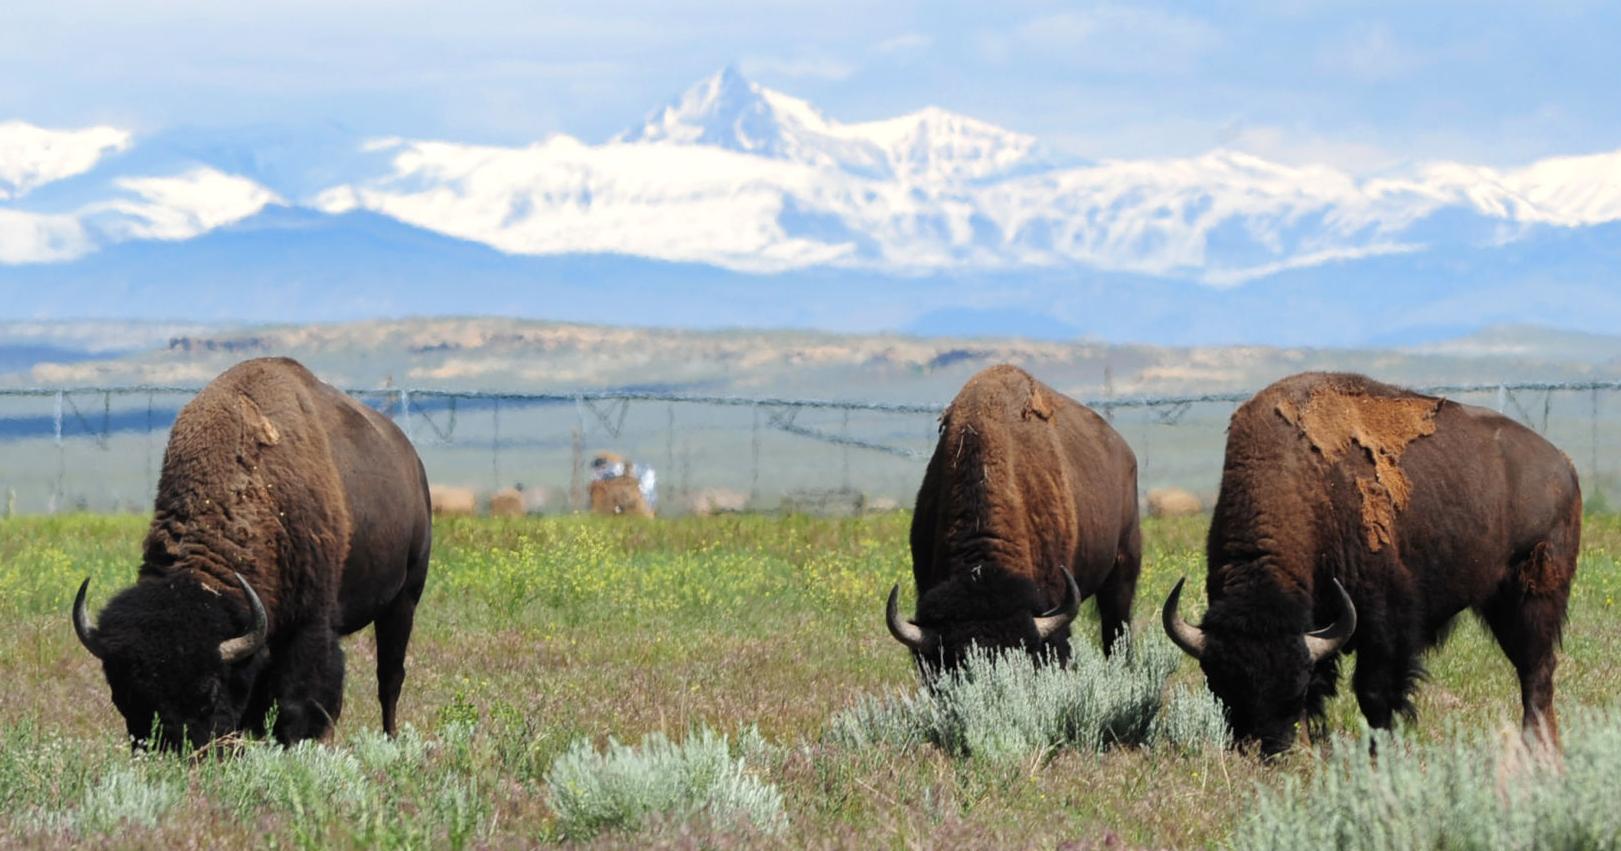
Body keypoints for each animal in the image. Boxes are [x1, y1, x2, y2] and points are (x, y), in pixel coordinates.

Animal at [73, 357, 433, 750]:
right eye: (124, 696)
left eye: (210, 693)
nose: (178, 751)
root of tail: (412, 460)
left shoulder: (310, 623)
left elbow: (300, 701)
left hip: (404, 599)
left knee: (390, 677)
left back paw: (390, 738)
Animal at [1164, 372, 1580, 755]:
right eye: (1218, 685)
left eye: (1293, 688)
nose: (1264, 750)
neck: (1304, 483)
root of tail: (1563, 464)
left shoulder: (1385, 621)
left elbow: (1375, 691)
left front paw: (1382, 753)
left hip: (1531, 596)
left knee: (1536, 672)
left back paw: (1540, 748)